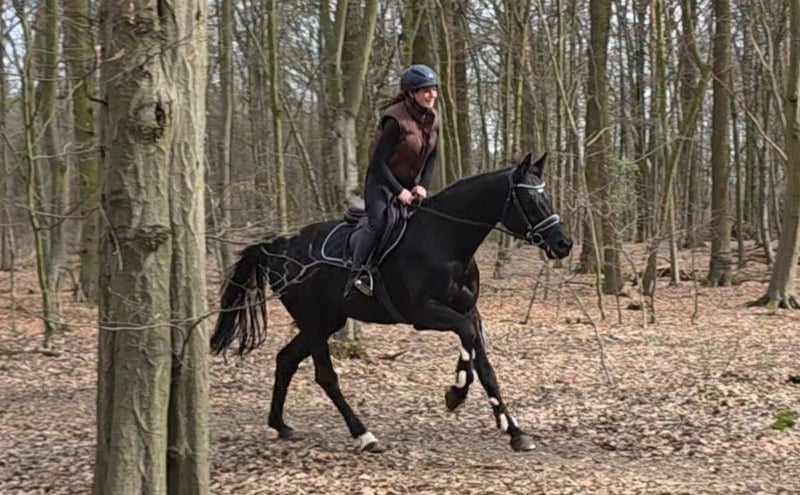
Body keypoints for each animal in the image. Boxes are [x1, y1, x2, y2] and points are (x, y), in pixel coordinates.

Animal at [210, 152, 573, 453]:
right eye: (529, 197)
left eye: (545, 194)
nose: (563, 243)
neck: (445, 239)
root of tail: (279, 246)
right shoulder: (424, 313)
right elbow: (466, 337)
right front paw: (455, 393)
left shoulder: (470, 310)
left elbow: (484, 367)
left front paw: (514, 431)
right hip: (314, 322)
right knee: (325, 376)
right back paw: (363, 435)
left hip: (328, 321)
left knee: (285, 360)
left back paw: (280, 425)